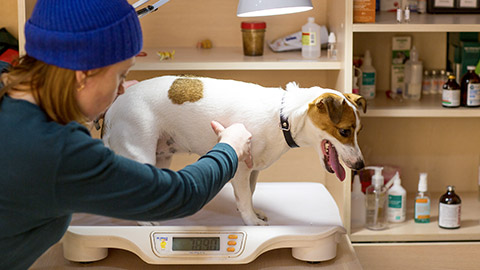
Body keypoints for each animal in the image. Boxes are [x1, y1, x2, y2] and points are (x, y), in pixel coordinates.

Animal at [103, 75, 366, 225]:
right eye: (344, 131)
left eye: (359, 131)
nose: (361, 165)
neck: (283, 117)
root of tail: (111, 109)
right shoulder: (240, 168)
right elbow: (244, 198)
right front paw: (251, 221)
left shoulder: (253, 170)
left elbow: (249, 194)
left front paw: (253, 212)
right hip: (140, 155)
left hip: (162, 158)